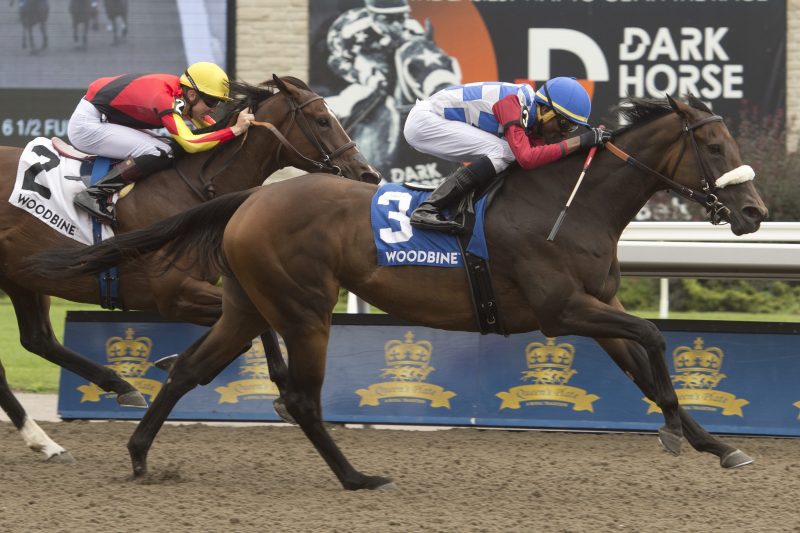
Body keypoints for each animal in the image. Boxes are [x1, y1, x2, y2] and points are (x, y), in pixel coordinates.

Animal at [0, 75, 382, 462]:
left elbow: (249, 331)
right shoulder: (174, 294)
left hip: (21, 278)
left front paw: (174, 362)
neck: (195, 187)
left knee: (38, 340)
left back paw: (79, 418)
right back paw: (54, 433)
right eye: (322, 120)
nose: (368, 173)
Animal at [29, 94, 768, 486]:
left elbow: (643, 361)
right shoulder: (564, 310)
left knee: (187, 369)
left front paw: (715, 443)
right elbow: (653, 339)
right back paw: (356, 476)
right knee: (300, 397)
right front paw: (673, 428)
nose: (756, 212)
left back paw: (139, 455)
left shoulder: (599, 307)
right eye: (714, 146)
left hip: (246, 304)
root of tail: (250, 198)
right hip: (304, 308)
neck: (570, 201)